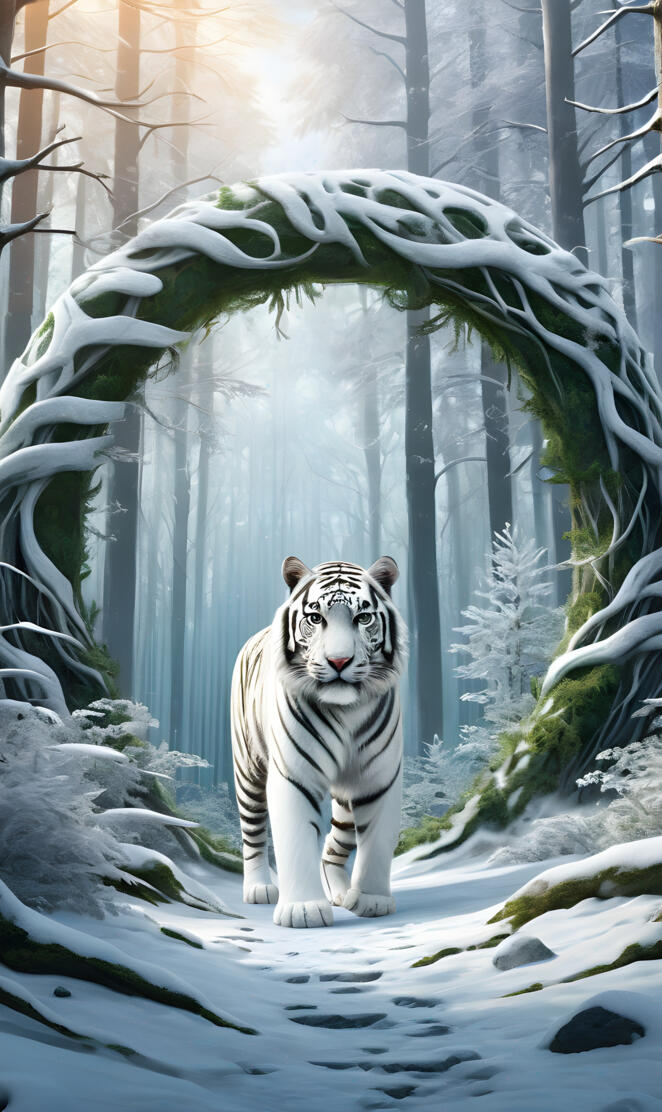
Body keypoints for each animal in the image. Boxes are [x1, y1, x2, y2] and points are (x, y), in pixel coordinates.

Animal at [230, 556, 407, 929]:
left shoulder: (379, 777)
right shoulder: (294, 776)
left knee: (334, 841)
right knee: (252, 830)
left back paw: (340, 892)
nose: (339, 661)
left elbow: (377, 841)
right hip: (248, 769)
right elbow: (296, 840)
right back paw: (258, 888)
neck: (346, 711)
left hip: (345, 796)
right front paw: (302, 910)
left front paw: (372, 901)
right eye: (315, 618)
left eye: (362, 618)